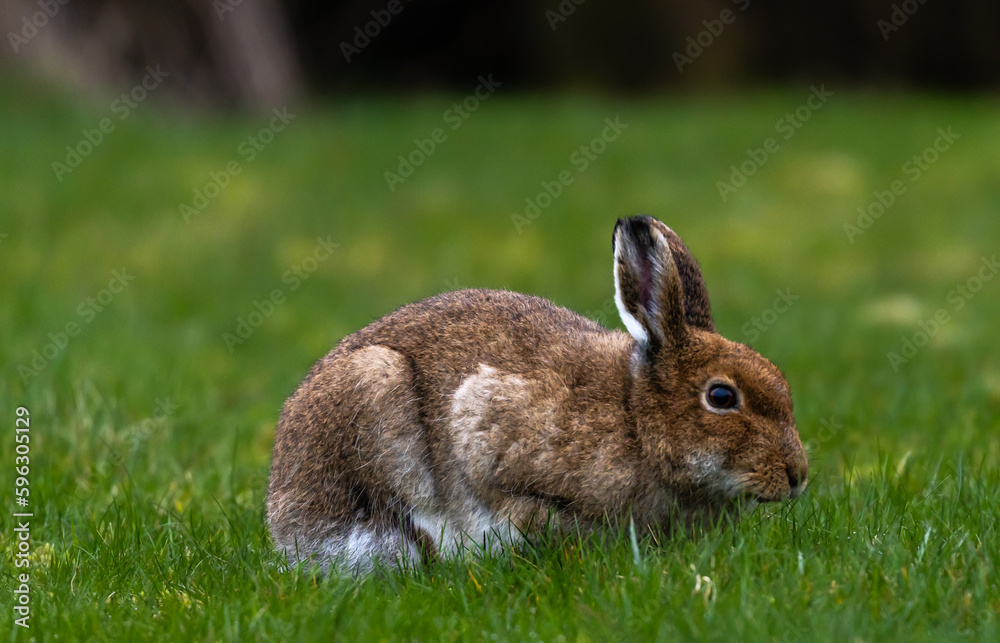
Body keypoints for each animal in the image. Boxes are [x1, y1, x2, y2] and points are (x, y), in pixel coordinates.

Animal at [266, 214, 807, 574]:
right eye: (721, 397)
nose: (797, 477)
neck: (637, 417)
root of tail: (281, 518)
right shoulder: (490, 436)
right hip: (374, 398)